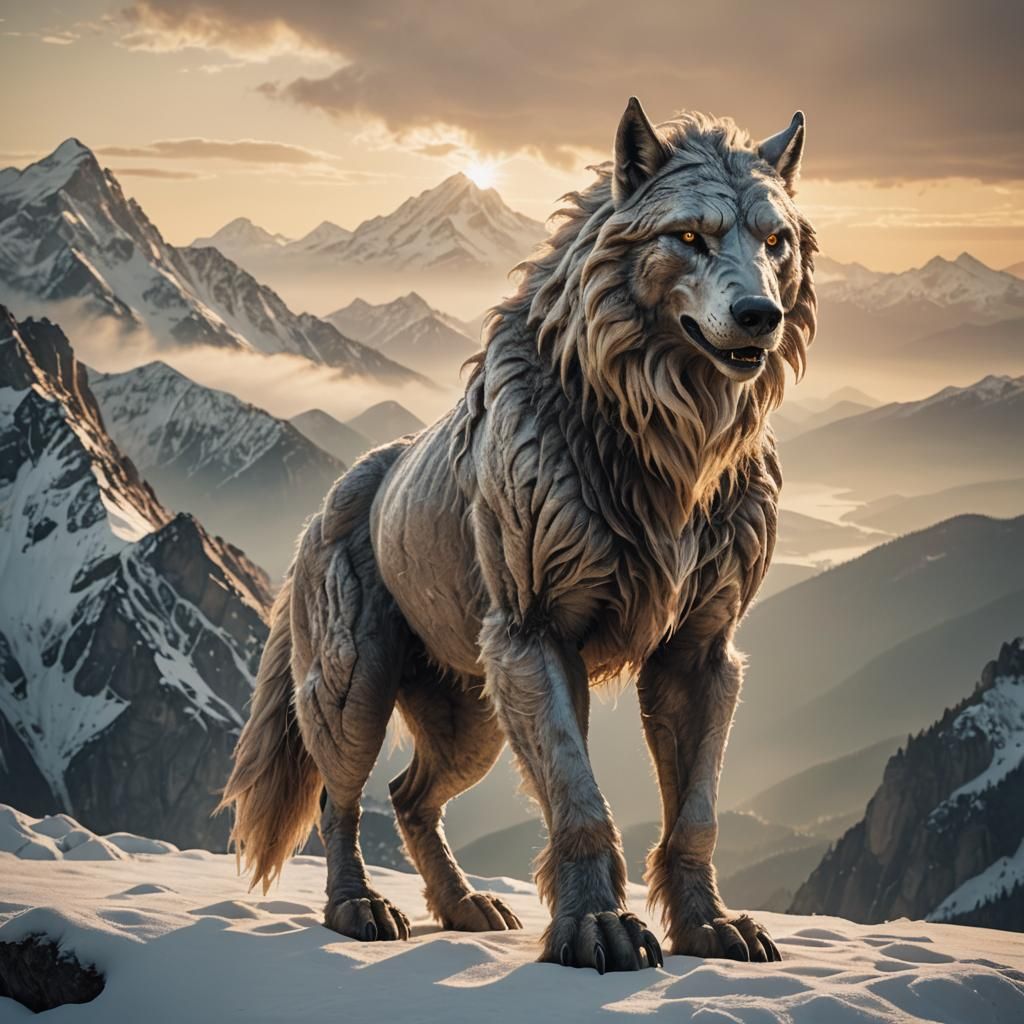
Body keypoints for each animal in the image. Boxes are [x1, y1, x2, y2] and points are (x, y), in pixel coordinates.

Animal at [220, 98, 817, 973]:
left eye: (775, 242)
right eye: (689, 235)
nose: (759, 316)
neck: (664, 443)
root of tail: (327, 503)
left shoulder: (700, 653)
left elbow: (695, 813)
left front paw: (709, 926)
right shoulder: (537, 638)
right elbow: (579, 798)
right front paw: (597, 929)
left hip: (472, 722)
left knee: (409, 797)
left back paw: (463, 905)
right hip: (358, 688)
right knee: (342, 797)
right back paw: (358, 908)